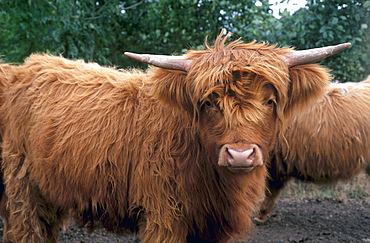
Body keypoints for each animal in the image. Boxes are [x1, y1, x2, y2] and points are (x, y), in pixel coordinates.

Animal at [0, 32, 350, 243]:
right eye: (209, 102)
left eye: (270, 101)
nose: (240, 155)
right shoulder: (164, 215)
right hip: (22, 190)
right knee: (24, 231)